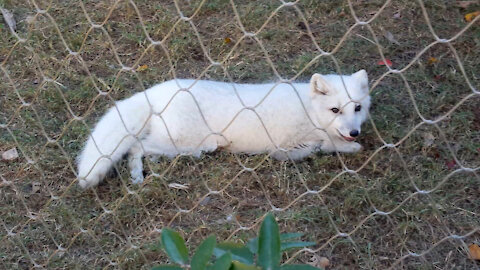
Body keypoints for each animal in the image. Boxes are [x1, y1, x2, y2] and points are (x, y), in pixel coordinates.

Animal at [78, 69, 372, 188]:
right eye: (335, 110)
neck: (309, 111)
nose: (354, 132)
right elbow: (323, 145)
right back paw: (137, 175)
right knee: (136, 146)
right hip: (187, 142)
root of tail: (156, 91)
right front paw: (350, 147)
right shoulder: (285, 148)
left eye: (358, 108)